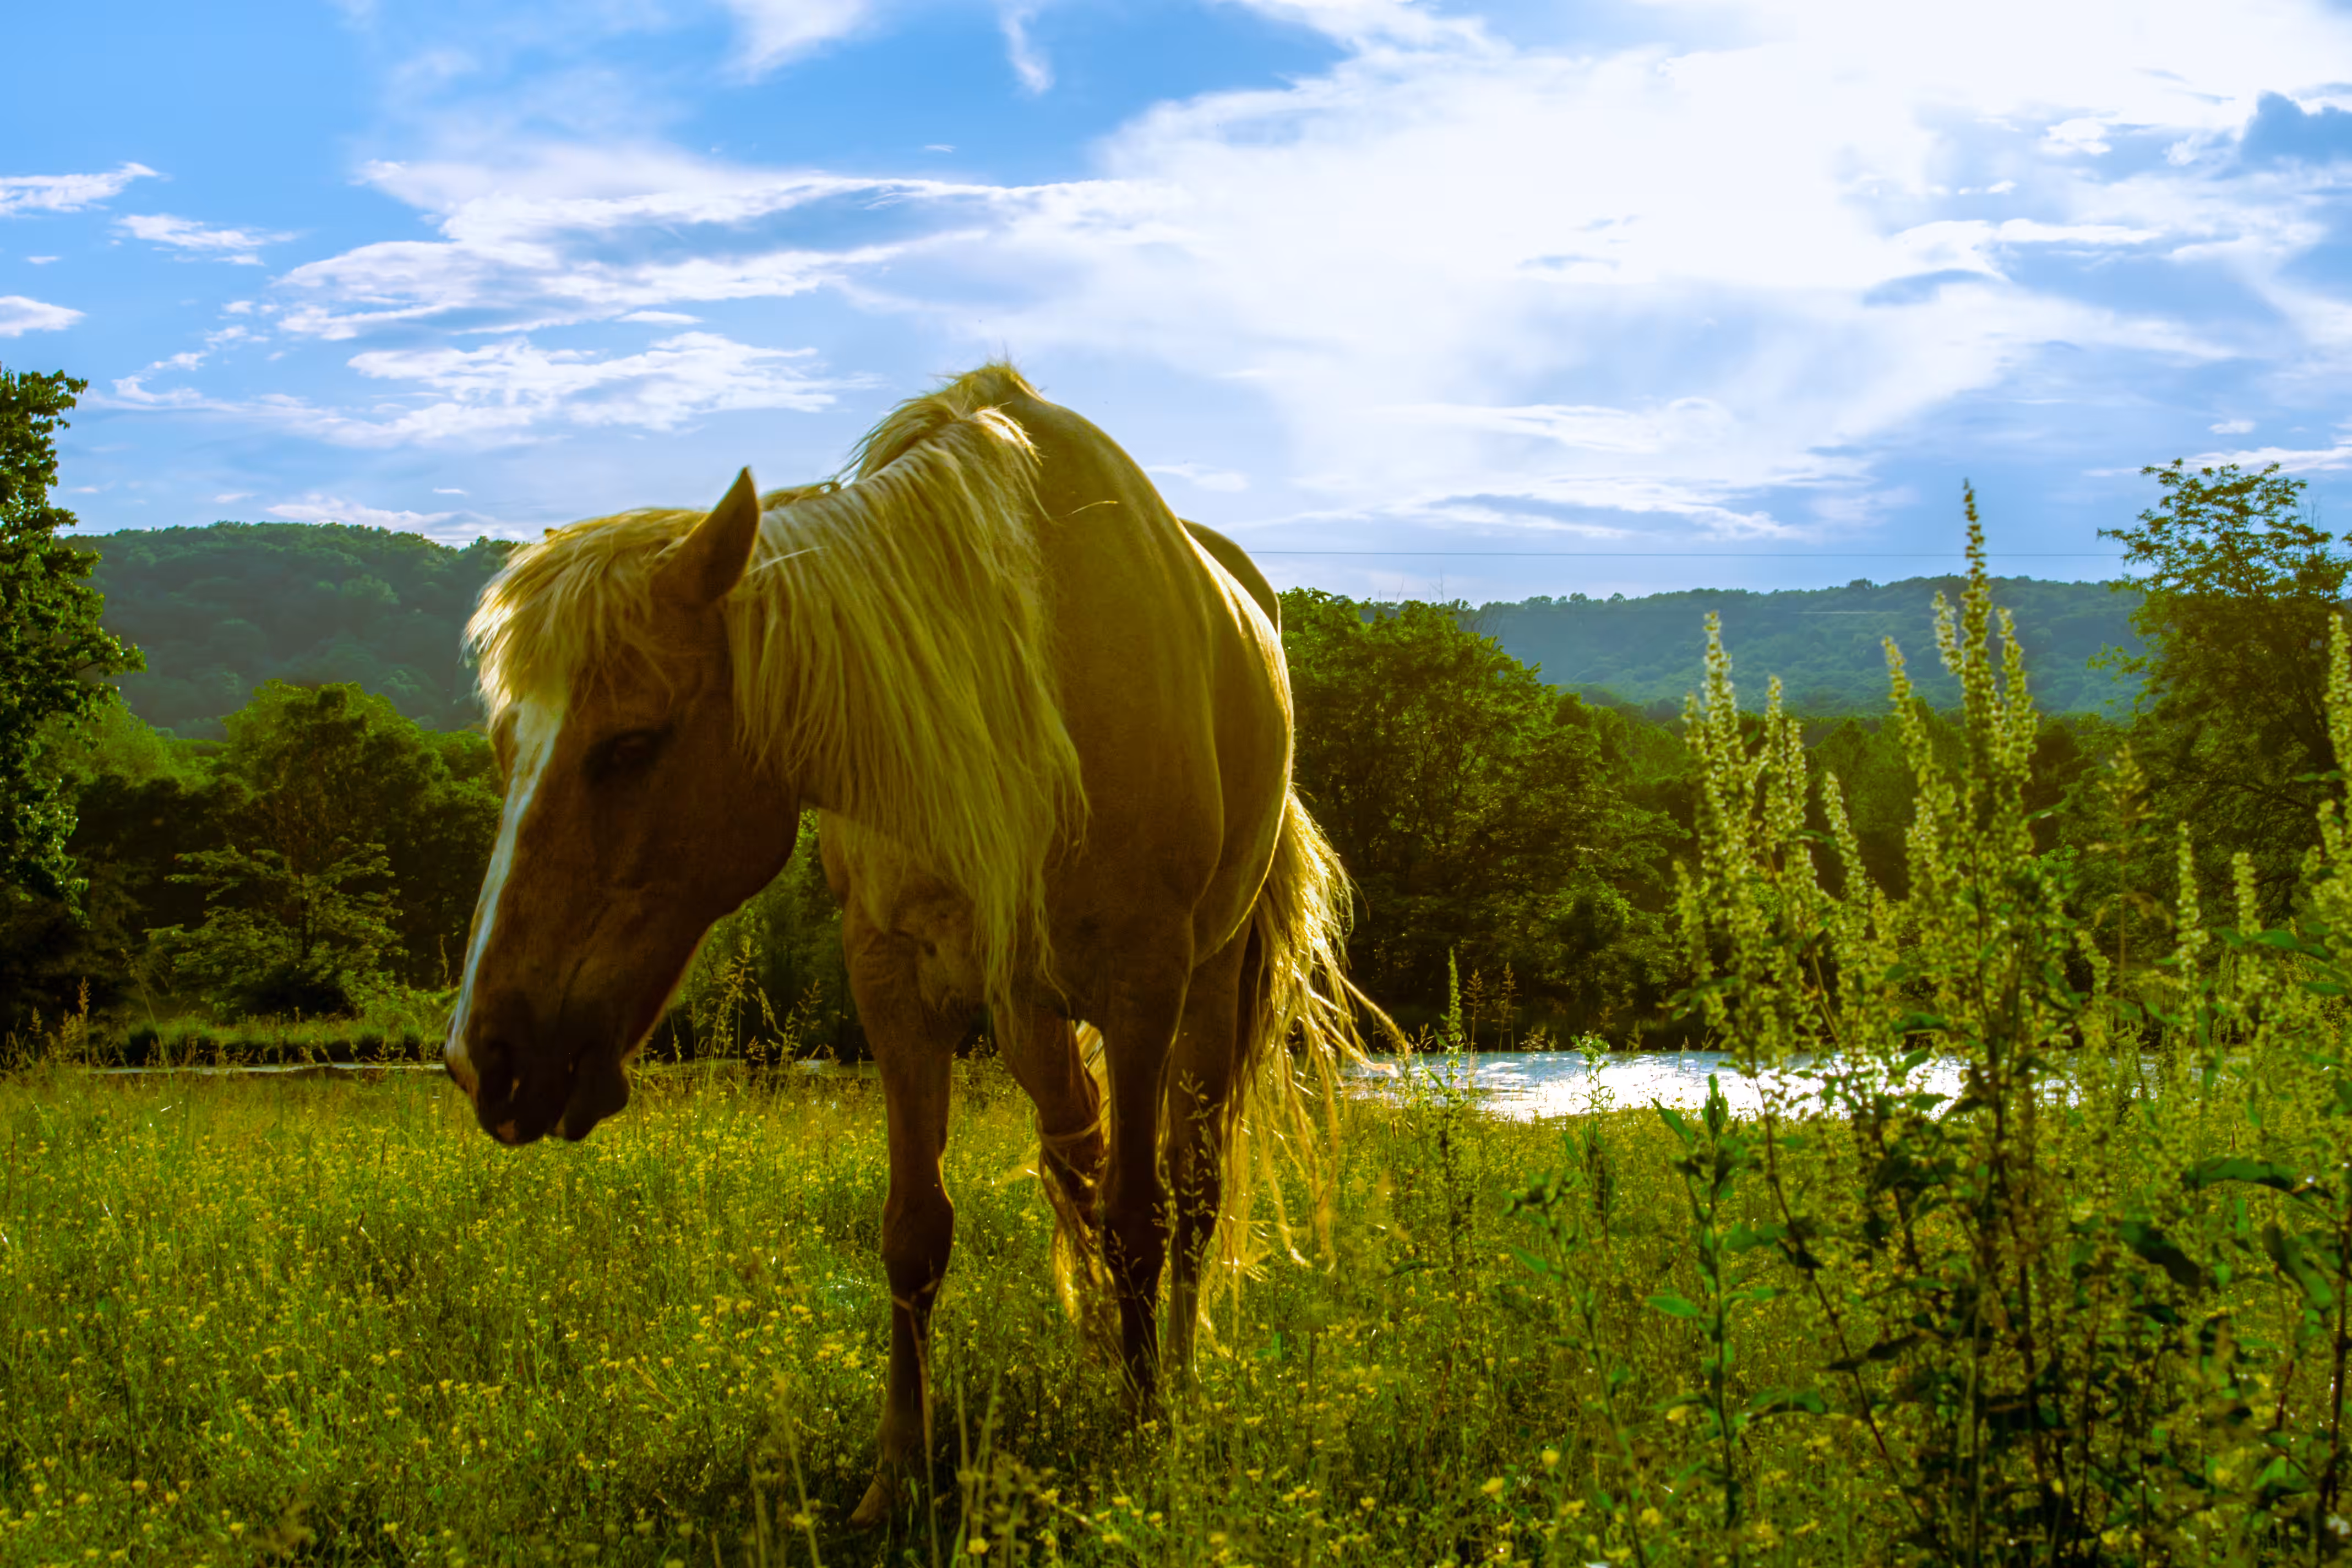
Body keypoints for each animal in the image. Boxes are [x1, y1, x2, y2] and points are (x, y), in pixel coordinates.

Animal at [442, 363, 1371, 1526]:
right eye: (502, 746)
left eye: (631, 743)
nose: (487, 1056)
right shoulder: (893, 979)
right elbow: (916, 1229)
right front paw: (895, 1473)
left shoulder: (1143, 979)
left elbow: (1140, 1215)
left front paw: (1143, 1433)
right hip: (1028, 1010)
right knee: (1073, 1160)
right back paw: (1100, 1354)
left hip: (1206, 985)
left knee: (1189, 1186)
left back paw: (1173, 1373)